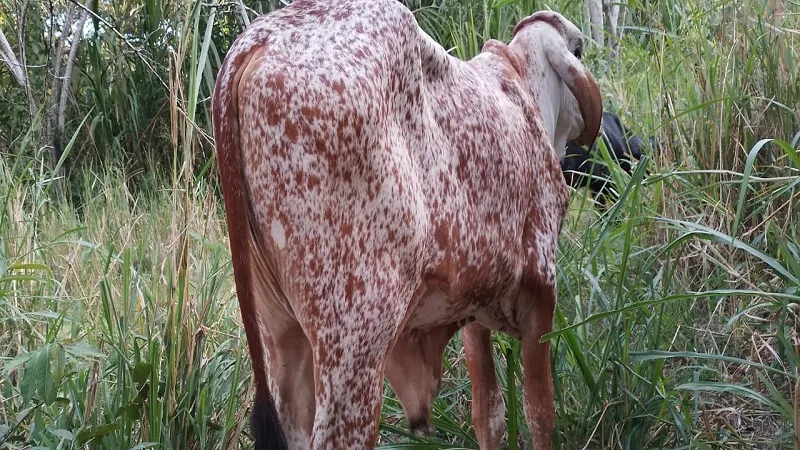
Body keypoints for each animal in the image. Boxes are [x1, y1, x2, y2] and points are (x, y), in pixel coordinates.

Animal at [211, 0, 600, 450]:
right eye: (579, 48)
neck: (522, 91)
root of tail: (258, 39)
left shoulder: (472, 309)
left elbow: (489, 414)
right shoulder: (541, 285)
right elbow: (541, 413)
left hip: (283, 342)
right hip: (353, 352)